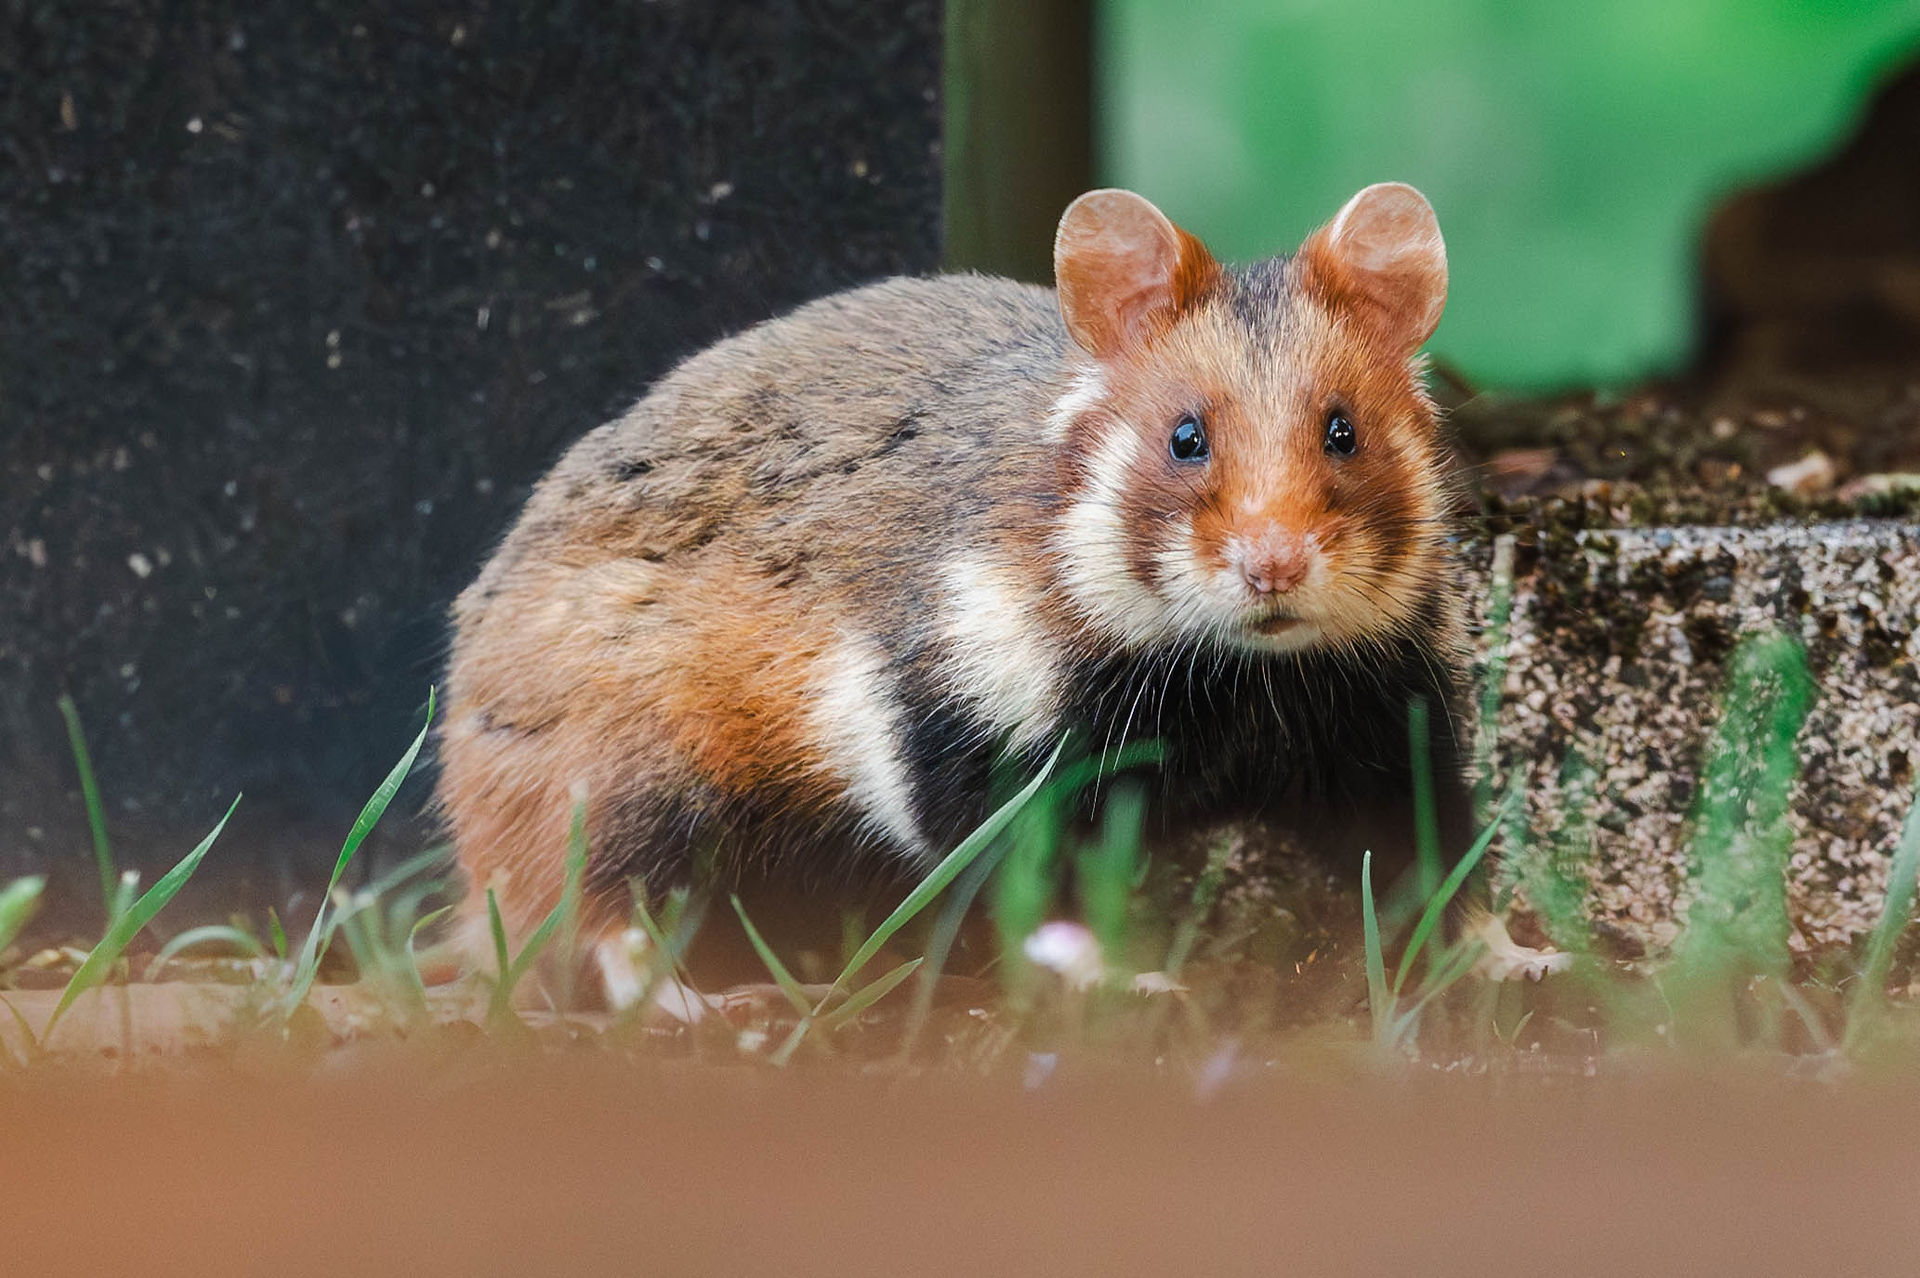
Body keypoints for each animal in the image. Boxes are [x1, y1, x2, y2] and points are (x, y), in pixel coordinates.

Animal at [439, 182, 1465, 959]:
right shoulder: (968, 739)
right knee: (597, 918)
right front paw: (1123, 976)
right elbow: (1025, 891)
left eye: (1343, 431)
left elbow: (1428, 876)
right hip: (626, 788)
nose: (1273, 569)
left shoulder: (1389, 731)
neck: (1245, 679)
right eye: (1185, 438)